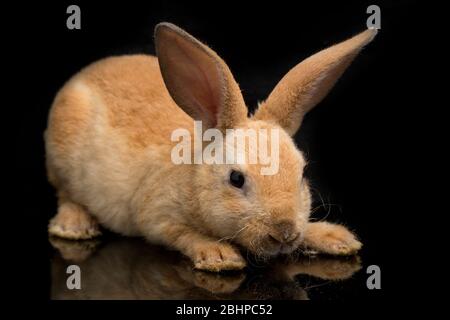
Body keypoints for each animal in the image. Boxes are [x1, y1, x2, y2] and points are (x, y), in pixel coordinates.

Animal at [45, 22, 376, 272]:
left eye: (302, 175)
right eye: (236, 179)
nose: (284, 233)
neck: (194, 177)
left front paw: (337, 238)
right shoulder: (156, 215)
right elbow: (181, 233)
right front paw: (219, 257)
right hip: (62, 159)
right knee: (65, 194)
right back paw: (74, 226)